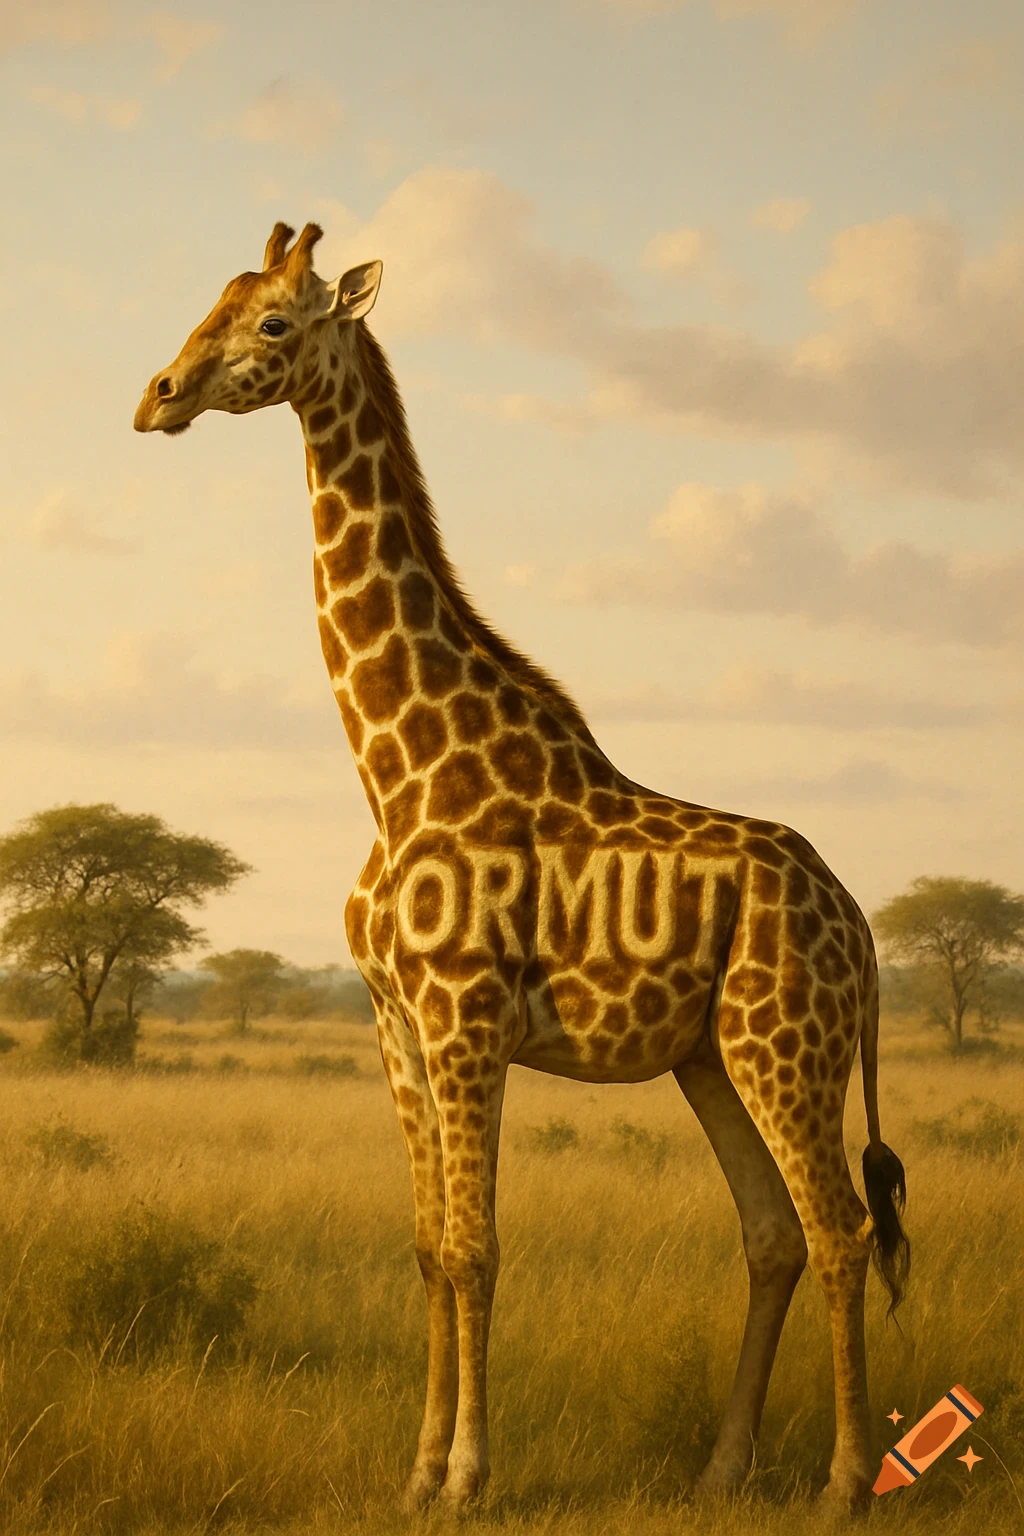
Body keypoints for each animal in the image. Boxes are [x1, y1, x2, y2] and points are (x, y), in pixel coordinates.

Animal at [134, 222, 910, 1512]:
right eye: (215, 303)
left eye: (274, 325)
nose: (157, 396)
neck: (396, 769)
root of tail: (858, 925)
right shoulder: (395, 1024)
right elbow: (428, 1250)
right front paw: (415, 1476)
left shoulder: (464, 1018)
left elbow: (477, 1248)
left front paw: (467, 1477)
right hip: (709, 1056)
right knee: (770, 1234)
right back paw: (720, 1471)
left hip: (783, 1043)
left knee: (841, 1229)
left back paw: (845, 1483)